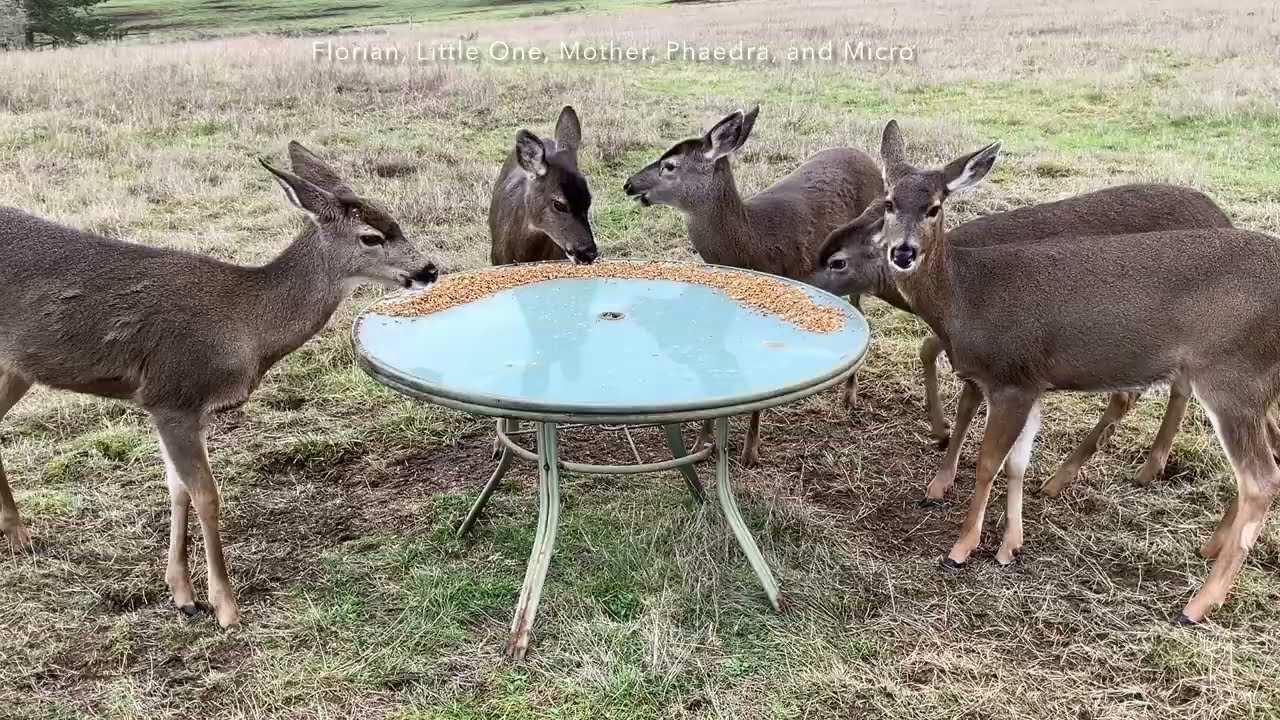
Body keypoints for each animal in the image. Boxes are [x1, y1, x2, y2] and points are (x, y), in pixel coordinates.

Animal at [0, 143, 439, 628]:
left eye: (394, 220)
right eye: (371, 236)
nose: (429, 269)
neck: (243, 324)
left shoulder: (187, 410)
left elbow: (177, 489)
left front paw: (182, 593)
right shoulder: (171, 395)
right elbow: (206, 496)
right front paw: (225, 605)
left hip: (16, 368)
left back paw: (17, 535)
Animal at [623, 105, 883, 465]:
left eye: (670, 165)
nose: (629, 184)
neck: (750, 245)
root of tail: (868, 159)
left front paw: (750, 450)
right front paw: (703, 442)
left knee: (860, 309)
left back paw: (849, 396)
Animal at [808, 181, 1233, 502]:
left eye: (838, 261)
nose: (805, 281)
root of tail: (1224, 217)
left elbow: (950, 377)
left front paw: (941, 434)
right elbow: (933, 354)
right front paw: (941, 438)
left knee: (1144, 392)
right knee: (1175, 387)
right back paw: (1147, 465)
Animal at [874, 118, 1280, 624]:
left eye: (934, 207)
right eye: (888, 202)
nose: (903, 252)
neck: (967, 296)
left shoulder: (1010, 377)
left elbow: (988, 463)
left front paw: (961, 548)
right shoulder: (1029, 382)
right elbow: (1017, 463)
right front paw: (1009, 547)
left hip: (1234, 378)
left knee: (1261, 480)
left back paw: (1197, 604)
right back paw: (1208, 548)